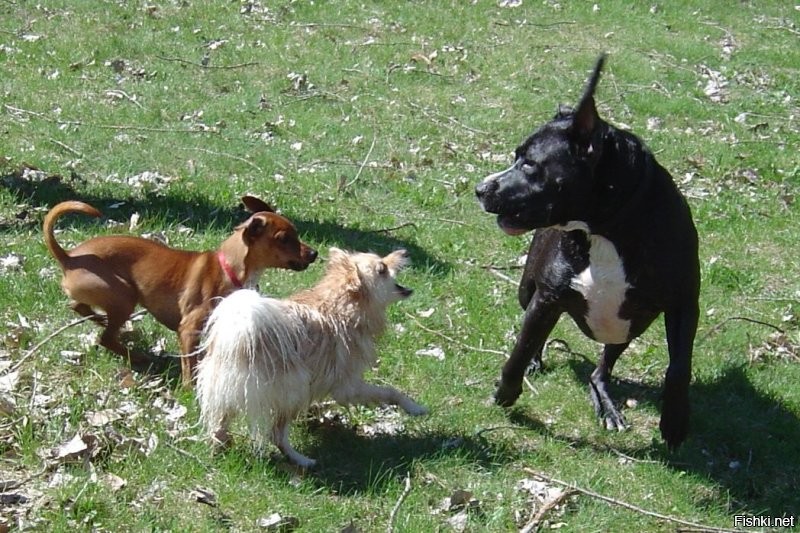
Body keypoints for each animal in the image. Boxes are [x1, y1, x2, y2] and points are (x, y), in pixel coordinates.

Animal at [43, 195, 318, 382]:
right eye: (284, 239)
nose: (314, 254)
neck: (229, 268)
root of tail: (69, 257)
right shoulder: (188, 329)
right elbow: (189, 365)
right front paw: (189, 388)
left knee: (78, 305)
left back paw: (99, 319)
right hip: (125, 295)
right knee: (105, 338)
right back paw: (137, 355)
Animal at [196, 247, 428, 468]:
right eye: (382, 269)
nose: (404, 252)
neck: (342, 305)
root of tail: (240, 331)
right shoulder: (348, 387)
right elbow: (389, 391)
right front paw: (415, 407)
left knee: (219, 428)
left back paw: (220, 449)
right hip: (295, 389)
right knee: (276, 433)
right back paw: (301, 460)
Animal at [478, 55, 696, 448]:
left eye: (529, 164)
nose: (480, 188)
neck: (604, 230)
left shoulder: (684, 304)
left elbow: (679, 366)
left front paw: (674, 421)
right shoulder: (547, 296)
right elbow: (521, 347)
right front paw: (505, 393)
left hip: (628, 327)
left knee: (601, 369)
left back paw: (607, 405)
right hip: (528, 290)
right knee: (541, 338)